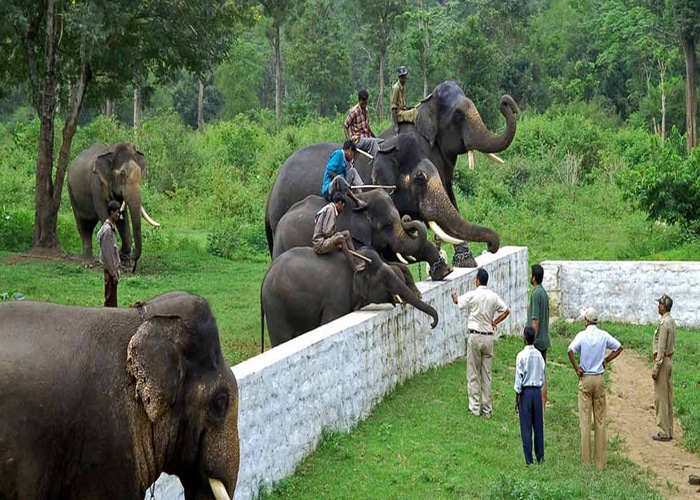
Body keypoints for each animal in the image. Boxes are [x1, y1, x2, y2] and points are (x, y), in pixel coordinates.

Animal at [67, 141, 161, 274]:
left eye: (139, 172)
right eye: (123, 173)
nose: (134, 262)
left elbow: (123, 218)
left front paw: (125, 263)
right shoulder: (97, 185)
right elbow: (105, 214)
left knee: (90, 226)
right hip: (71, 192)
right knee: (82, 225)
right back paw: (88, 264)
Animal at [262, 246, 438, 348]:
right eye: (386, 278)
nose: (431, 324)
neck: (358, 260)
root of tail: (266, 276)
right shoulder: (336, 299)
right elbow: (328, 321)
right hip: (276, 305)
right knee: (282, 338)